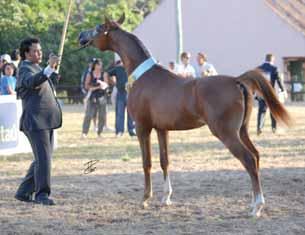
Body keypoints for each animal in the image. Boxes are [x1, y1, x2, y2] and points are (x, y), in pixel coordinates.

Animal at [78, 14, 290, 217]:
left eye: (98, 28)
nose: (81, 36)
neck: (146, 77)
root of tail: (237, 81)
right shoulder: (162, 129)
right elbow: (165, 161)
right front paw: (166, 198)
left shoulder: (142, 127)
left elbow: (147, 162)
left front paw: (145, 198)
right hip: (242, 131)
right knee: (256, 156)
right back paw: (253, 204)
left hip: (227, 133)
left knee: (249, 160)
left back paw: (257, 207)